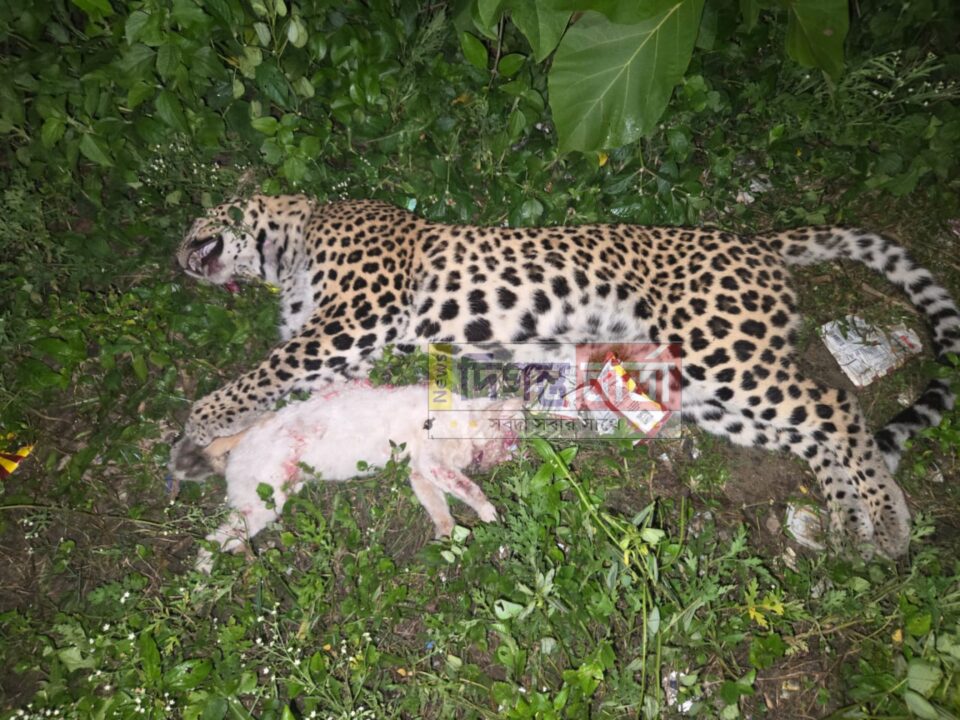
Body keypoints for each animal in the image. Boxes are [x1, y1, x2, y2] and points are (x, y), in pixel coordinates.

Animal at [173, 194, 960, 558]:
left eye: (193, 226)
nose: (177, 259)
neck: (291, 241)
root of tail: (756, 242)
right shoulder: (345, 353)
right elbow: (278, 396)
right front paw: (206, 450)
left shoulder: (353, 318)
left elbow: (254, 377)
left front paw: (190, 432)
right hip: (703, 387)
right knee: (812, 429)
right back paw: (849, 521)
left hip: (723, 352)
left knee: (833, 403)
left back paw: (887, 520)